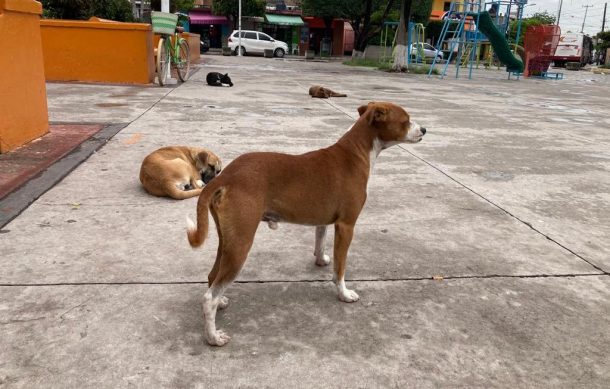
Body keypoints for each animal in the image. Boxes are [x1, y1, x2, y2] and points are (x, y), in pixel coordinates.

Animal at [185, 101, 422, 344]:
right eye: (405, 120)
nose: (424, 130)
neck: (356, 152)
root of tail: (226, 176)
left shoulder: (324, 221)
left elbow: (320, 242)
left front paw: (320, 260)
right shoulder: (346, 226)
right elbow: (340, 268)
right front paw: (344, 293)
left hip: (228, 241)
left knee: (212, 277)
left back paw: (221, 303)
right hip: (240, 245)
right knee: (209, 298)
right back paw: (213, 337)